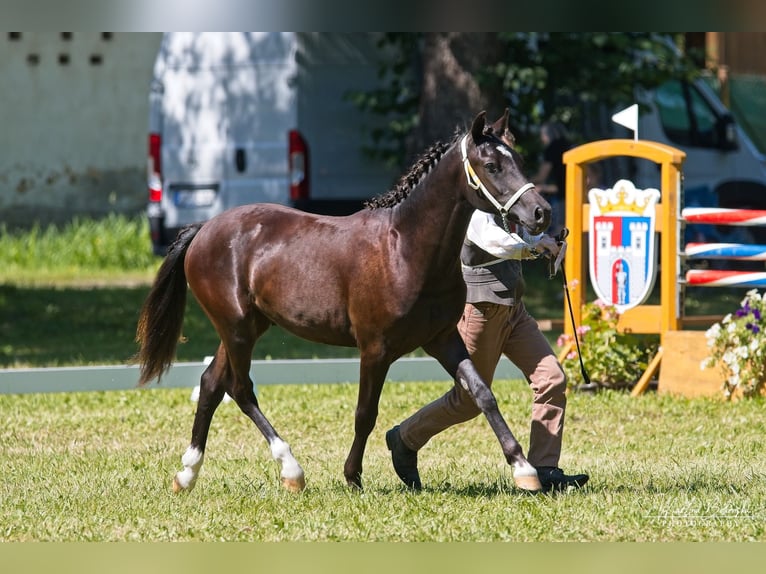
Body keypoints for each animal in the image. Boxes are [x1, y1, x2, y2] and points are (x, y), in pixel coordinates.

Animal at [135, 111, 548, 496]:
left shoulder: (442, 339)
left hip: (245, 327)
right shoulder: (375, 349)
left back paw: (186, 474)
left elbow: (482, 394)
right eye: (492, 165)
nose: (541, 213)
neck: (406, 250)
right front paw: (352, 476)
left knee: (211, 384)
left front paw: (524, 469)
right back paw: (291, 470)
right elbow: (365, 413)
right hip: (236, 328)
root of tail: (203, 229)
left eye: (518, 160)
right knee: (240, 388)